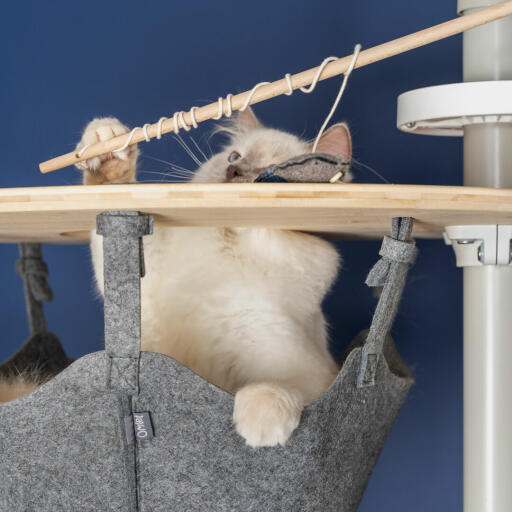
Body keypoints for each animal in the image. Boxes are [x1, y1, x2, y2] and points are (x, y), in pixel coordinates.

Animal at [77, 110, 352, 446]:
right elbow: (111, 188)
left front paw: (262, 426)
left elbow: (279, 385)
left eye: (270, 172)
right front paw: (107, 141)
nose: (234, 171)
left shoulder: (299, 363)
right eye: (235, 157)